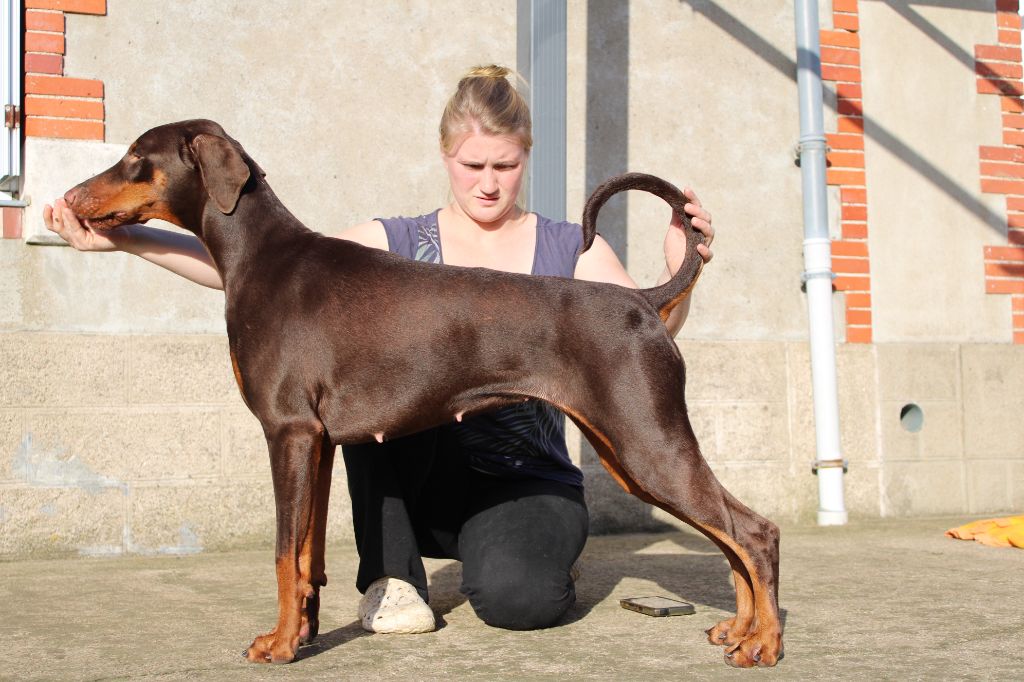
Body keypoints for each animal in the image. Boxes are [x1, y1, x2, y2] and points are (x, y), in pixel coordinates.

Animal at [61, 118, 782, 663]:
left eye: (135, 159)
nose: (68, 199)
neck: (258, 258)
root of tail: (641, 299)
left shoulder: (286, 431)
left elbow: (282, 551)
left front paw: (280, 646)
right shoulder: (317, 442)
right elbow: (308, 555)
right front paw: (304, 633)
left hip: (645, 443)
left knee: (755, 532)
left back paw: (765, 644)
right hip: (631, 450)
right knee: (731, 535)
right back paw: (739, 628)